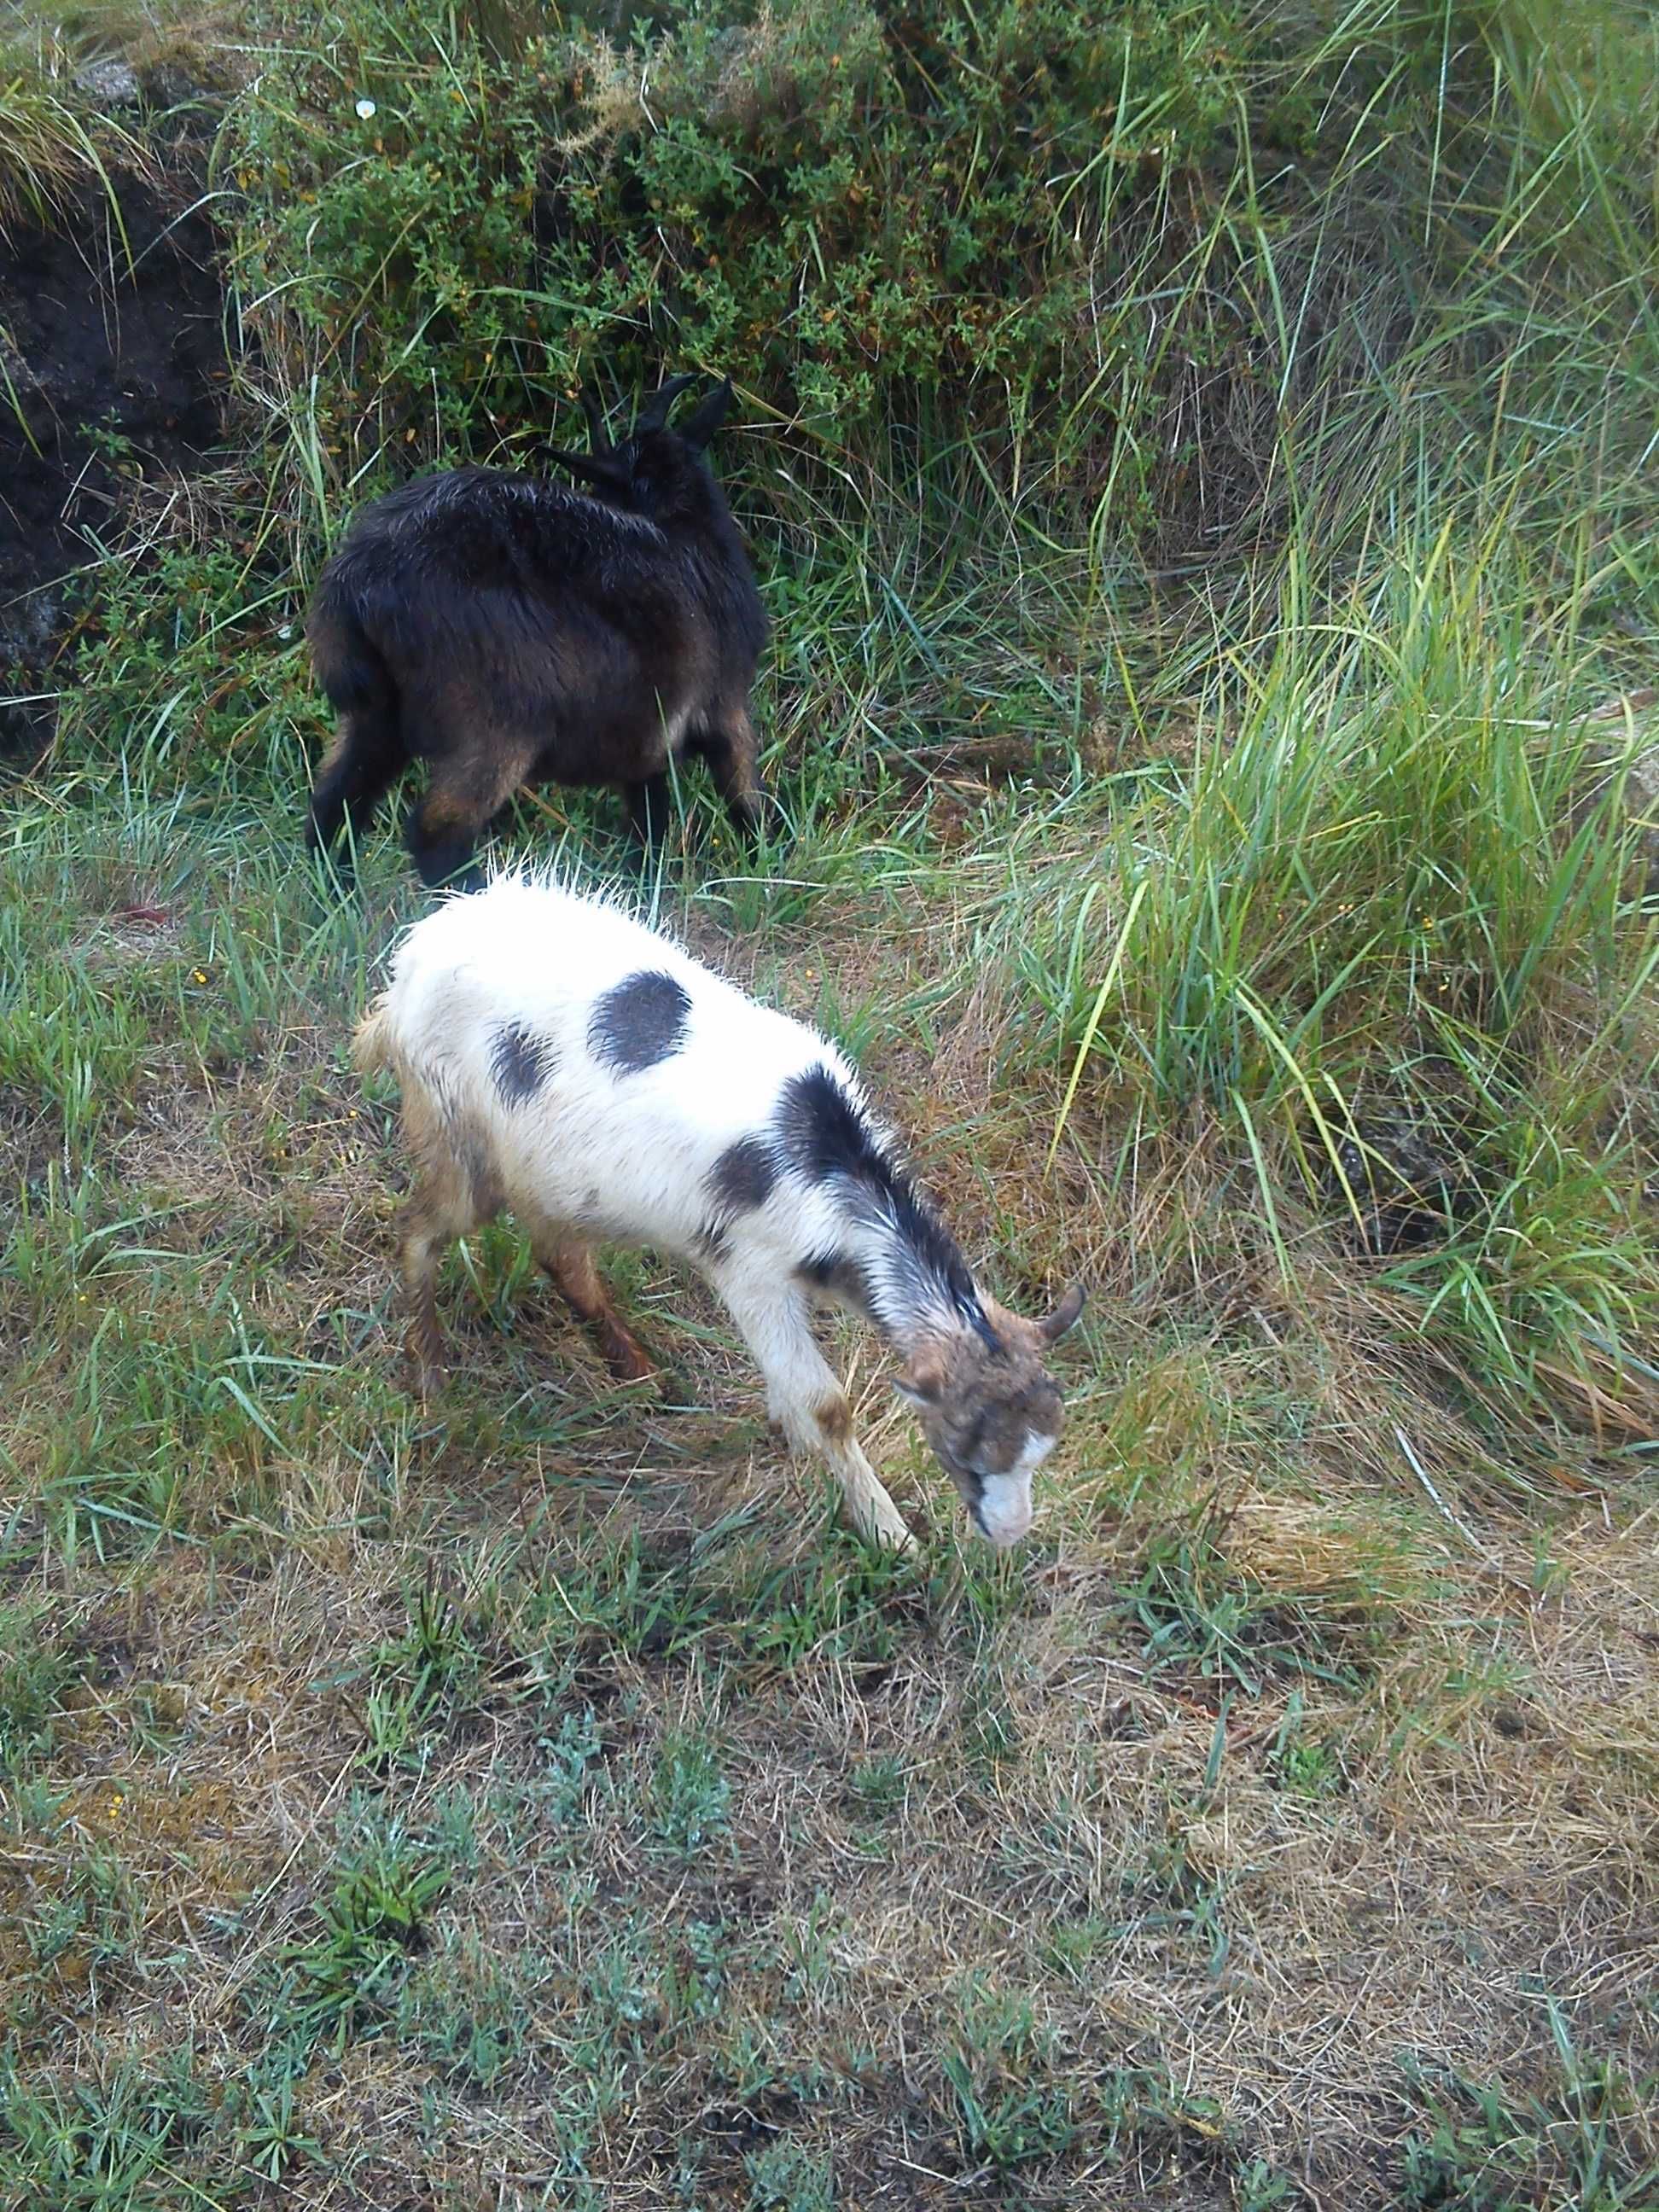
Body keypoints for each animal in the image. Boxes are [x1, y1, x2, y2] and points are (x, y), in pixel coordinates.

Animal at [307, 378, 774, 888]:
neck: (690, 535)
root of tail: (355, 580)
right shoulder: (725, 704)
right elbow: (746, 800)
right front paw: (769, 872)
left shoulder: (646, 740)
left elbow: (649, 825)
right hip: (496, 726)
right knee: (437, 833)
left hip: (377, 717)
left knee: (333, 806)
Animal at [356, 871, 1084, 1548]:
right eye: (965, 1450)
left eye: (1043, 1450)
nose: (1011, 1534)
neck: (830, 1164)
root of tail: (409, 962)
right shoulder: (748, 1269)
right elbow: (827, 1406)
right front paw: (889, 1532)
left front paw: (789, 1433)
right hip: (452, 1125)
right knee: (420, 1230)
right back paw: (431, 1375)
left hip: (546, 1170)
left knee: (558, 1254)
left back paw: (642, 1374)